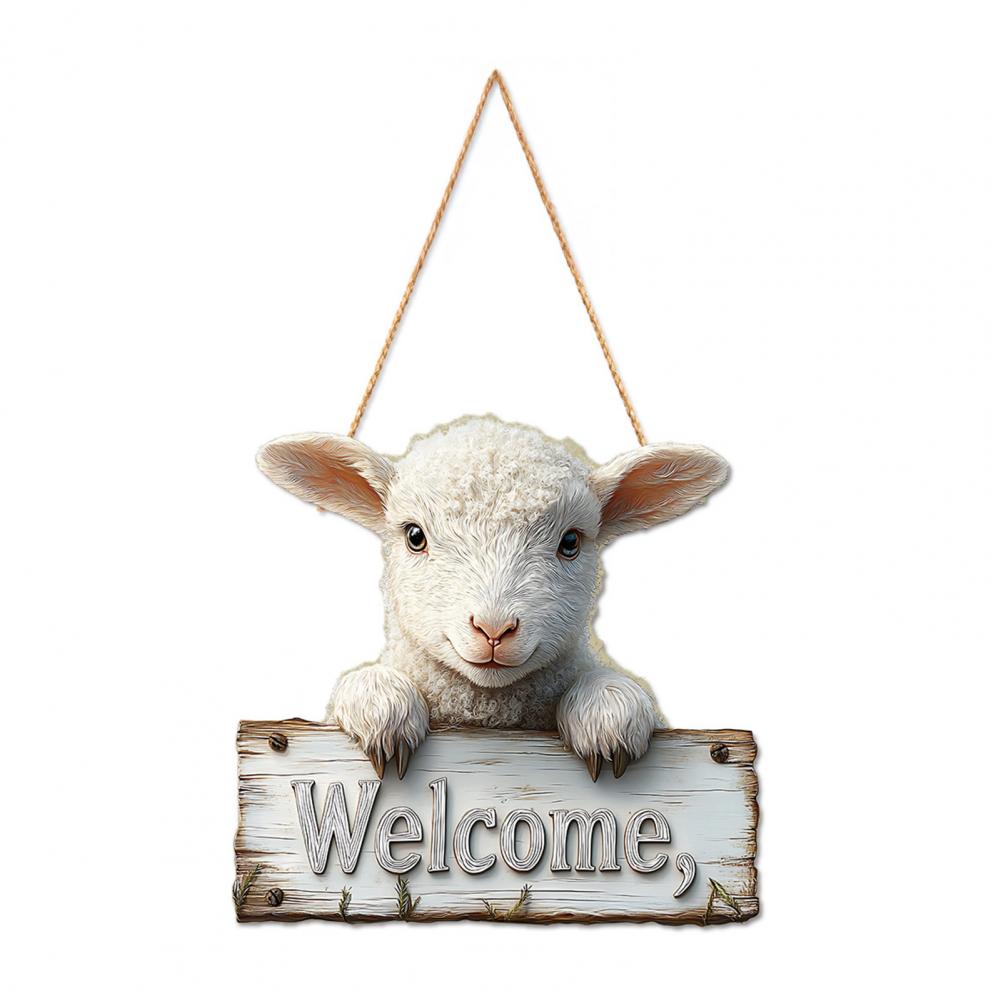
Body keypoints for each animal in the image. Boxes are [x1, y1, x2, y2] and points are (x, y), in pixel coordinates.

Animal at [257, 415, 728, 781]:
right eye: (415, 536)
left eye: (571, 542)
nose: (494, 629)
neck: (487, 713)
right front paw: (379, 700)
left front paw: (607, 709)